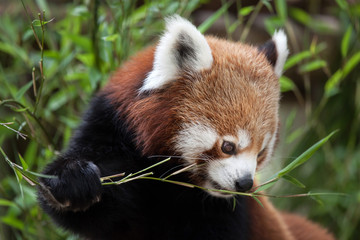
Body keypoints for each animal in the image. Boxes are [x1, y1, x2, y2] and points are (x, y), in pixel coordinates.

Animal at [36, 15, 334, 239]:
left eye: (261, 154)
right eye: (228, 146)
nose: (245, 183)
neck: (173, 185)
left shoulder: (230, 212)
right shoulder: (111, 131)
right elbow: (88, 210)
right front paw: (73, 180)